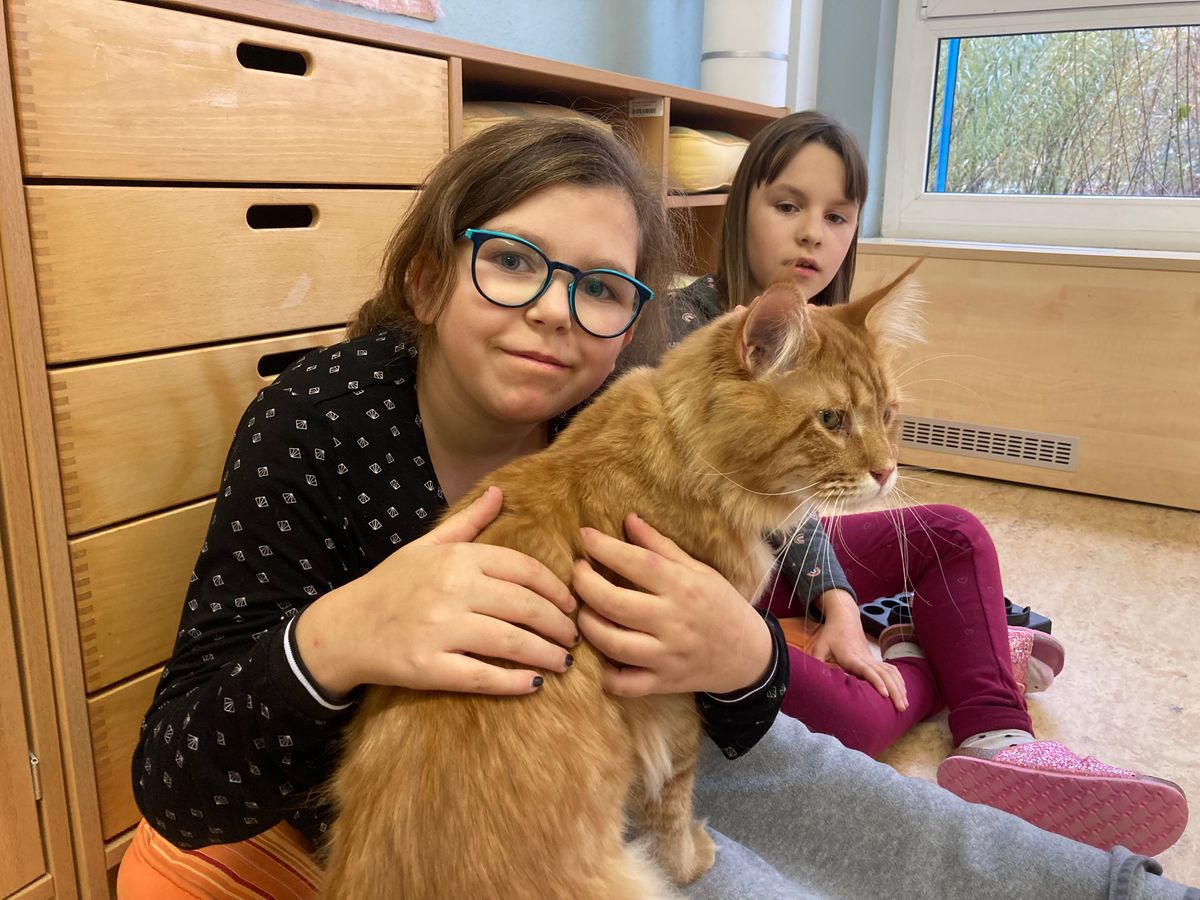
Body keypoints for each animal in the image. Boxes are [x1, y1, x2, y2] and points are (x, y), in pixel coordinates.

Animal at [316, 262, 916, 900]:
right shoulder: (667, 694)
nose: (887, 471)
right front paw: (690, 862)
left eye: (888, 415)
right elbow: (672, 801)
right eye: (832, 420)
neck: (682, 456)